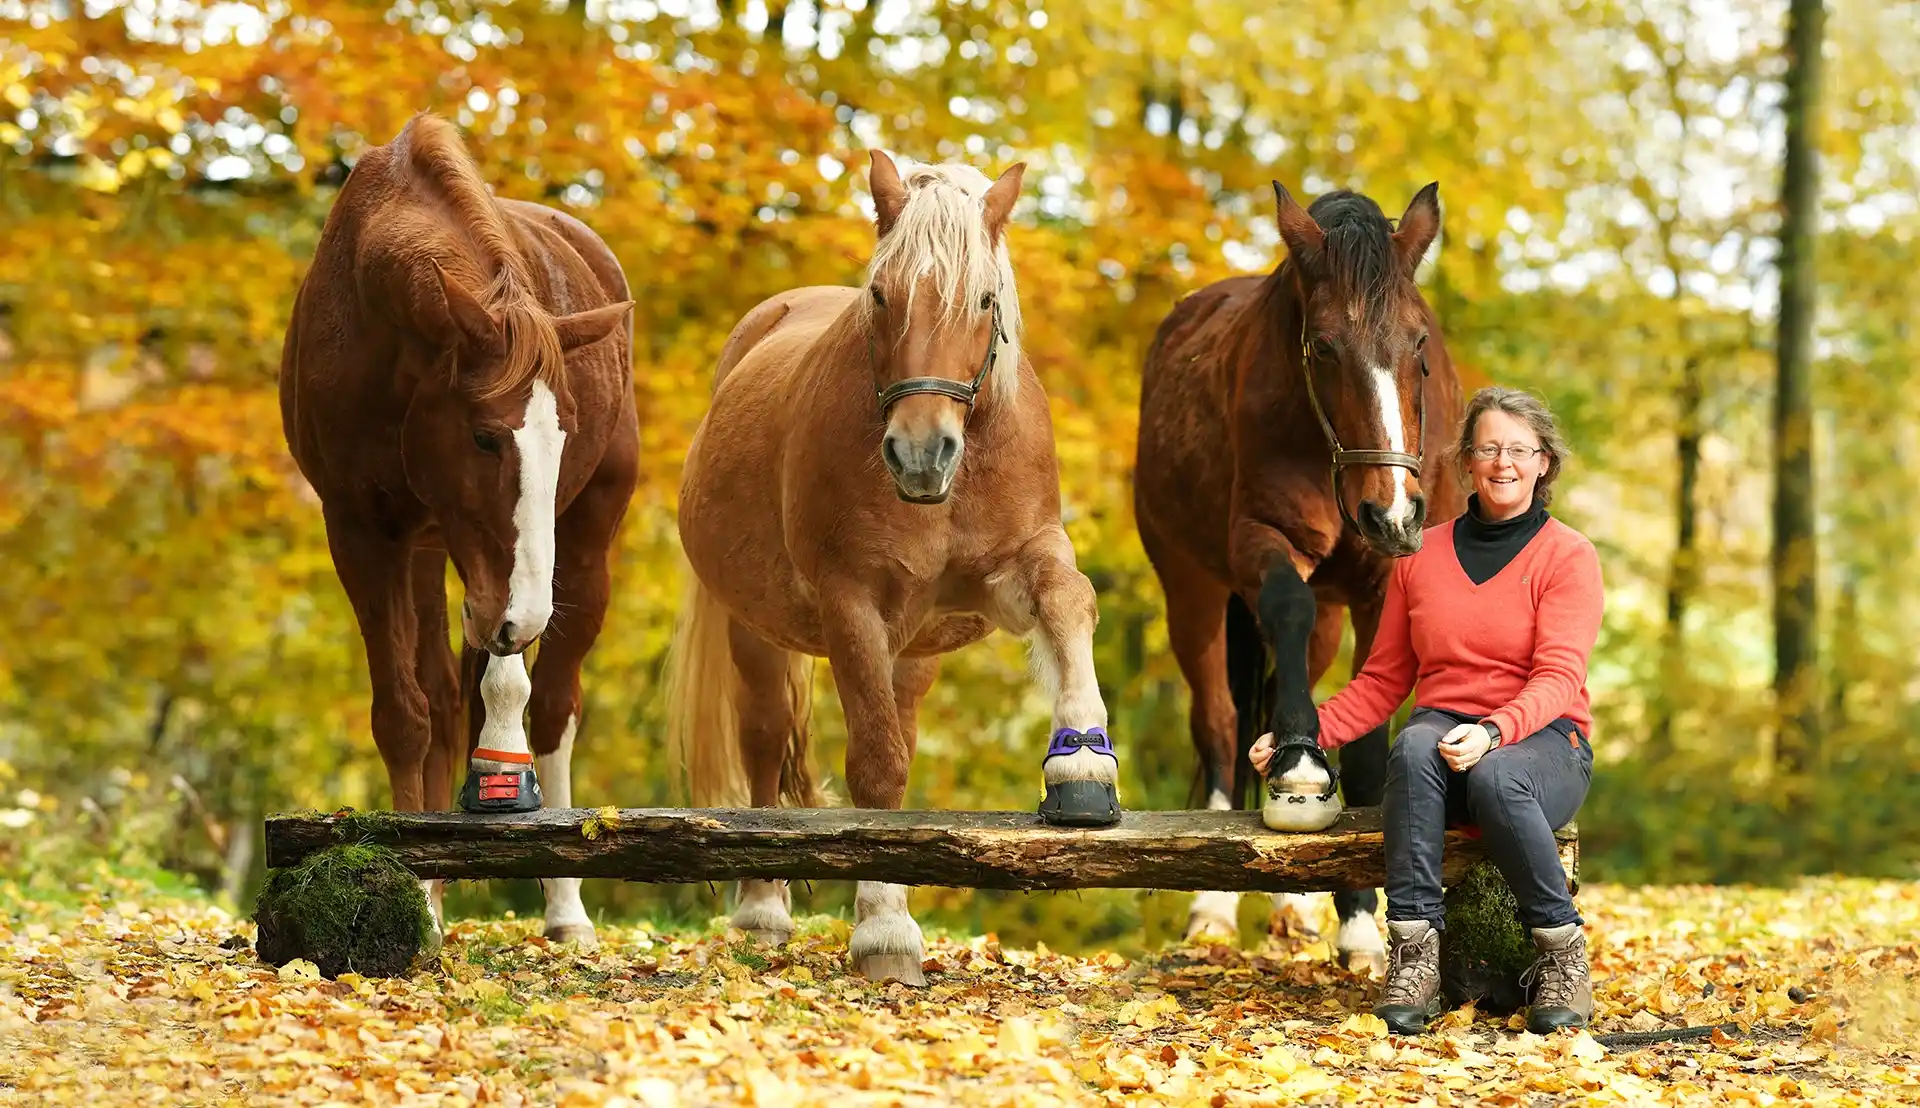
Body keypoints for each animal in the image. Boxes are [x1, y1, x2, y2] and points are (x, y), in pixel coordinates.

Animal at [280, 112, 637, 952]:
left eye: (564, 436)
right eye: (482, 437)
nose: (526, 615)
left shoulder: (499, 581)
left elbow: (503, 696)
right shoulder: (363, 532)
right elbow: (407, 715)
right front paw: (418, 893)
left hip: (575, 552)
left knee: (548, 706)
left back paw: (565, 907)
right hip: (436, 556)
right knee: (449, 701)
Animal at [664, 148, 1121, 983]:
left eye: (983, 299)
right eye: (881, 295)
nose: (920, 452)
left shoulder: (1009, 571)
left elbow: (1068, 600)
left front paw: (1083, 765)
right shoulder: (851, 604)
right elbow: (876, 764)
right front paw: (883, 930)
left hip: (912, 649)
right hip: (757, 633)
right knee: (764, 741)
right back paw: (761, 909)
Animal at [1128, 179, 1459, 967]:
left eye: (1419, 343)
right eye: (1322, 347)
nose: (1391, 512)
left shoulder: (1379, 587)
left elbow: (1367, 742)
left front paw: (1361, 923)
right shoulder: (1261, 543)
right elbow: (1285, 606)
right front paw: (1300, 767)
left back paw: (1295, 905)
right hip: (1190, 592)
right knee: (1219, 727)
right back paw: (1214, 906)